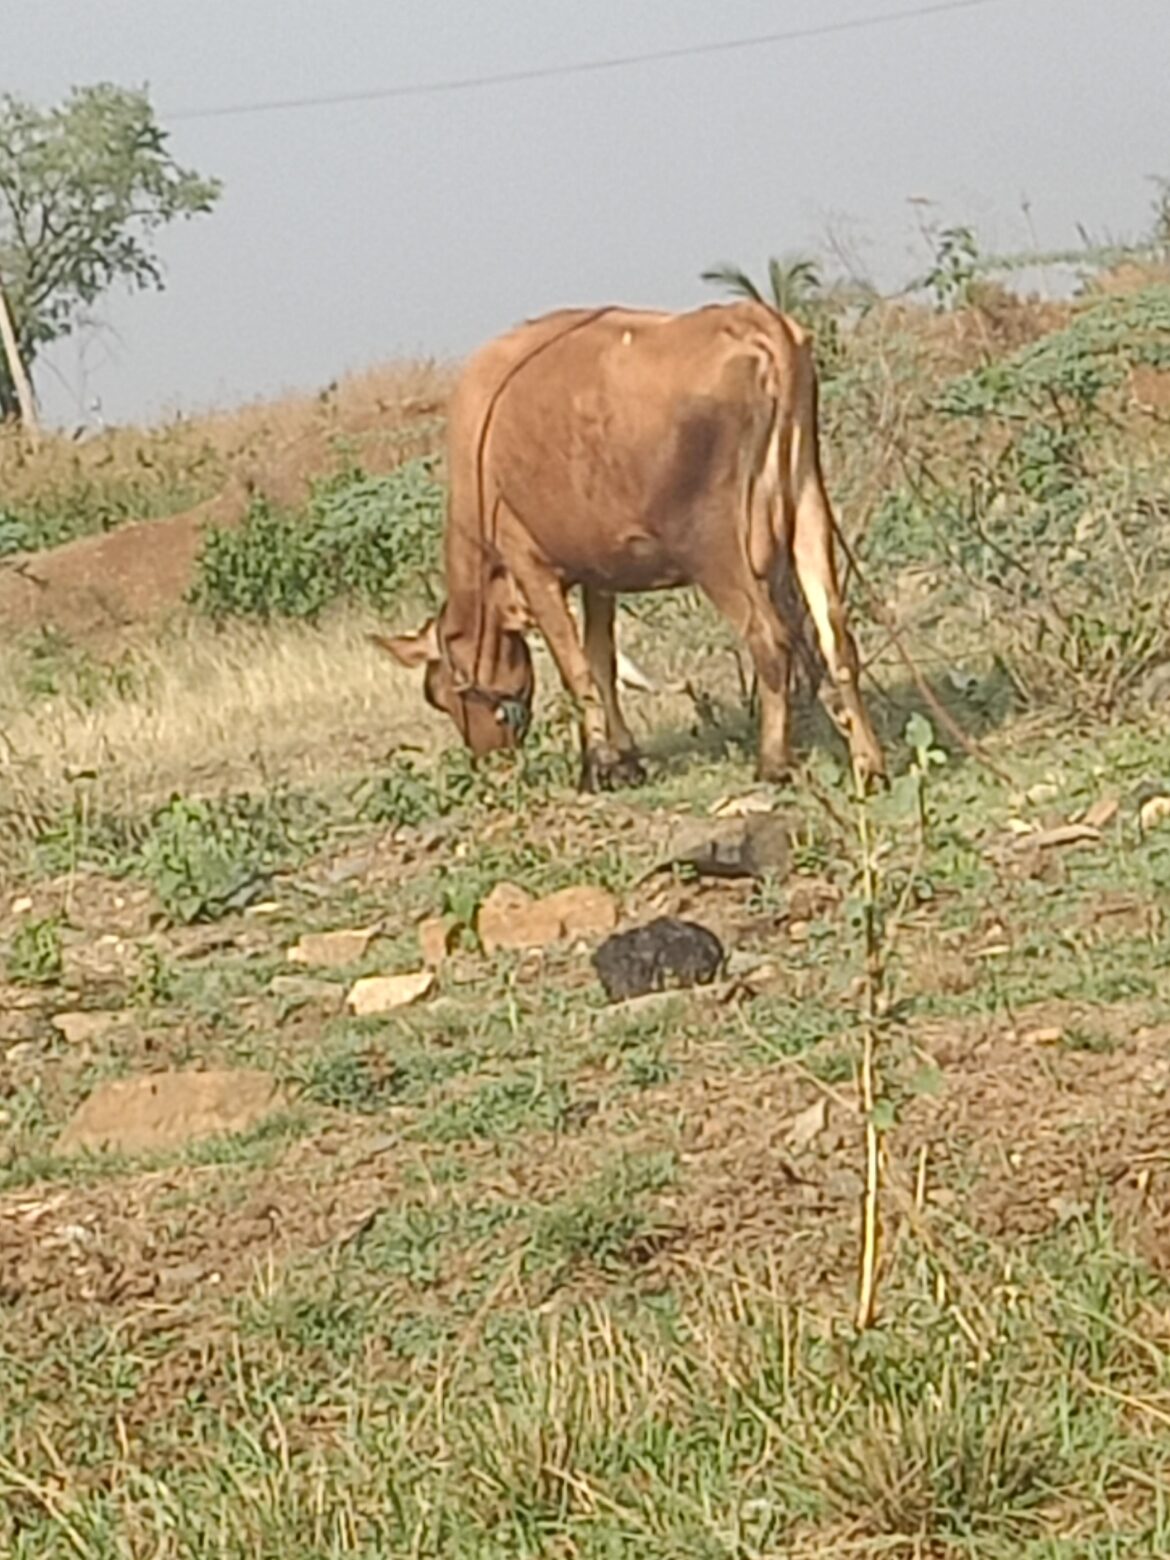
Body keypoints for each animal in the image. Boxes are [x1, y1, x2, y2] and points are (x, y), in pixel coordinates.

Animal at [379, 300, 885, 791]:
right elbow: (601, 660)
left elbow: (576, 669)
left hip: (714, 545)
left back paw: (772, 765)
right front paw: (623, 759)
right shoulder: (599, 569)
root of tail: (749, 318)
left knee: (769, 639)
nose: (488, 765)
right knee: (837, 637)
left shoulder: (530, 563)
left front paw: (597, 765)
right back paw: (869, 763)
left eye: (442, 695)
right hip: (809, 505)